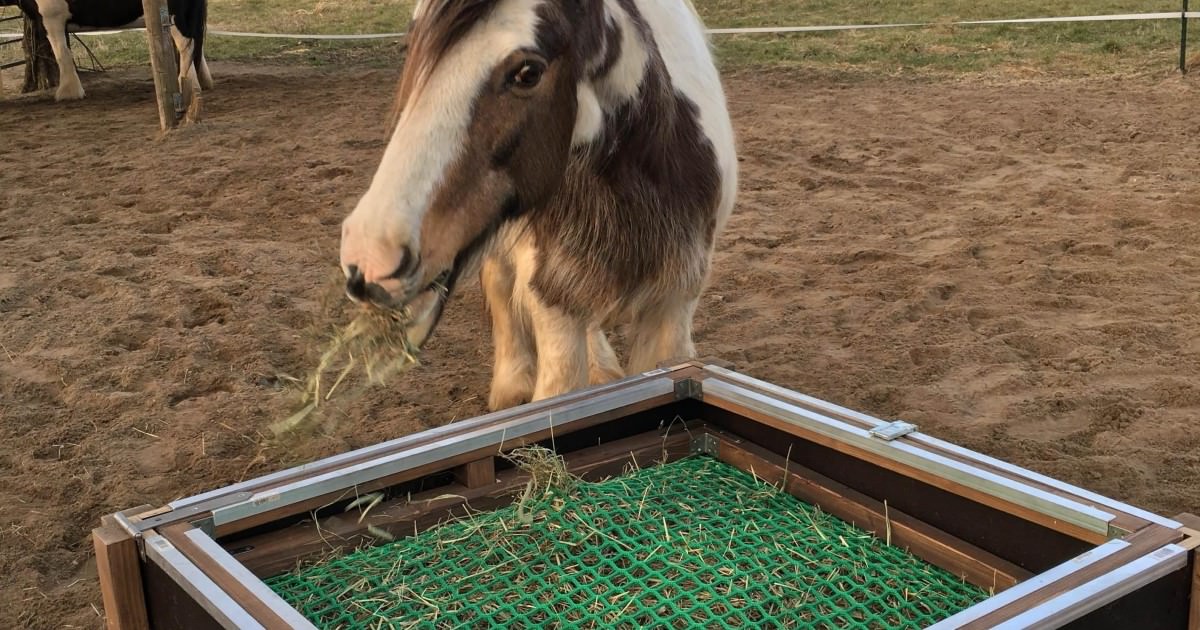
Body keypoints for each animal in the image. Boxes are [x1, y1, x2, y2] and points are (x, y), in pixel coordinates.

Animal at [8, 0, 211, 102]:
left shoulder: (52, 18)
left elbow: (62, 54)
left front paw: (68, 92)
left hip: (174, 16)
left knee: (186, 46)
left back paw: (183, 84)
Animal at [333, 0, 734, 412]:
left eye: (528, 73)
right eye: (409, 47)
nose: (370, 256)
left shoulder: (674, 305)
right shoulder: (551, 298)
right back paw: (513, 384)